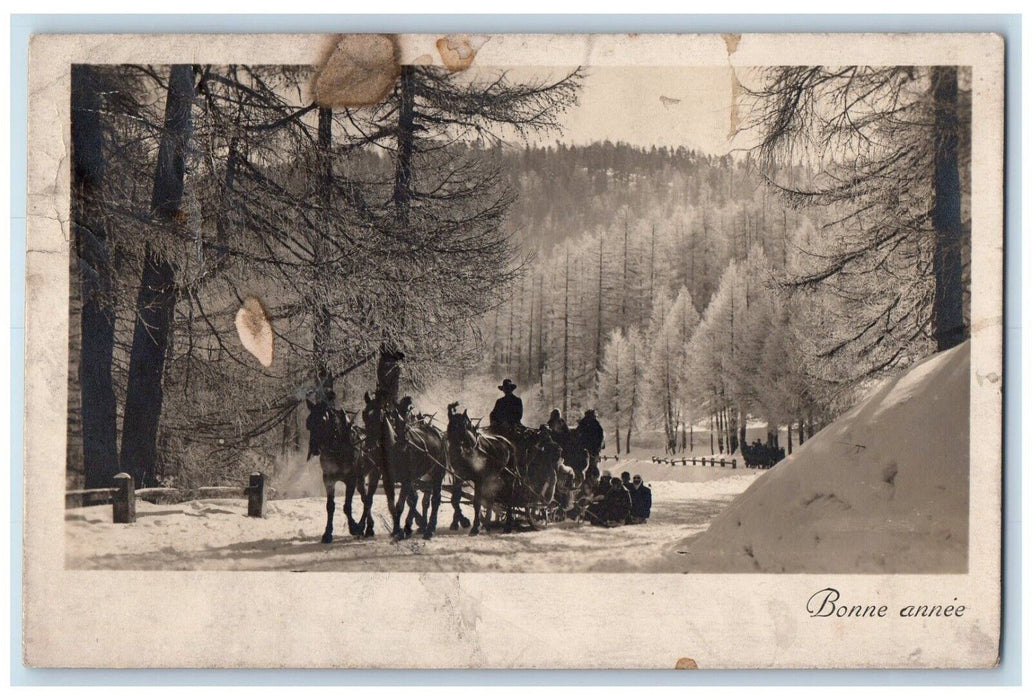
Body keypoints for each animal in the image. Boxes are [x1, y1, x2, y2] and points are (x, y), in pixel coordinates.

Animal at [305, 400, 379, 541]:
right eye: (308, 422)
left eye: (323, 421)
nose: (314, 448)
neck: (338, 448)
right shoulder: (328, 479)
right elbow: (330, 506)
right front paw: (327, 533)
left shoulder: (350, 480)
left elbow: (347, 507)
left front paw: (354, 527)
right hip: (360, 479)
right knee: (365, 498)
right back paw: (369, 526)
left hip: (374, 473)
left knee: (369, 500)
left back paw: (364, 527)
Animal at [361, 392, 445, 541]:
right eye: (364, 414)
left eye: (380, 415)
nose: (369, 445)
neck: (395, 447)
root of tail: (437, 432)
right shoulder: (388, 480)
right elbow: (392, 505)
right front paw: (397, 529)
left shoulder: (406, 480)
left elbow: (400, 505)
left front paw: (399, 531)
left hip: (437, 472)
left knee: (434, 499)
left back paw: (429, 529)